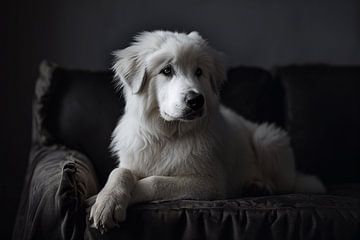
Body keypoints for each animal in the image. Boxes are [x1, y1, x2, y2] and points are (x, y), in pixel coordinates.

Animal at [90, 30, 326, 231]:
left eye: (199, 72)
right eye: (167, 71)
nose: (196, 100)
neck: (168, 135)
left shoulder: (209, 184)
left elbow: (156, 182)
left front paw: (101, 199)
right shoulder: (132, 161)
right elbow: (120, 172)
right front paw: (105, 200)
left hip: (268, 139)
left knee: (283, 184)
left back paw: (259, 186)